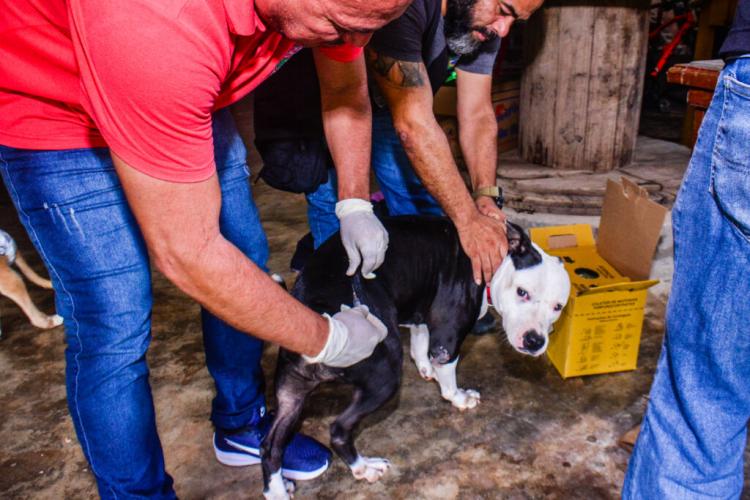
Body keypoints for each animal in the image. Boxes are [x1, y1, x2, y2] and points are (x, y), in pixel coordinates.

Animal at [262, 217, 568, 498]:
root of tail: (314, 310)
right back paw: (364, 467)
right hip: (384, 374)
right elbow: (447, 370)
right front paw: (457, 396)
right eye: (522, 292)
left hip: (292, 391)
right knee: (338, 429)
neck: (496, 258)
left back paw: (276, 488)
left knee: (271, 446)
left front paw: (426, 369)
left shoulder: (422, 314)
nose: (535, 340)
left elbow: (420, 345)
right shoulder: (447, 336)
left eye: (558, 307)